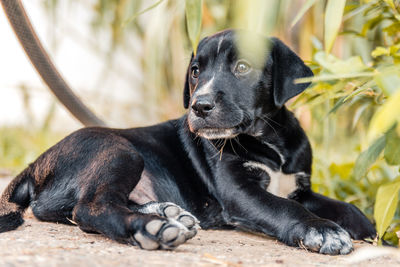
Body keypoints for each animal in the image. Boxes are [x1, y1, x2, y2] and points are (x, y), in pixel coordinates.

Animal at [0, 29, 376, 255]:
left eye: (243, 67)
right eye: (196, 71)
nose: (199, 106)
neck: (270, 139)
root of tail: (35, 164)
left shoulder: (302, 187)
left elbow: (344, 207)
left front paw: (369, 227)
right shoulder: (241, 192)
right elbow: (283, 207)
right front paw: (322, 231)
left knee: (81, 207)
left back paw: (167, 212)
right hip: (118, 150)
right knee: (88, 208)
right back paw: (153, 228)